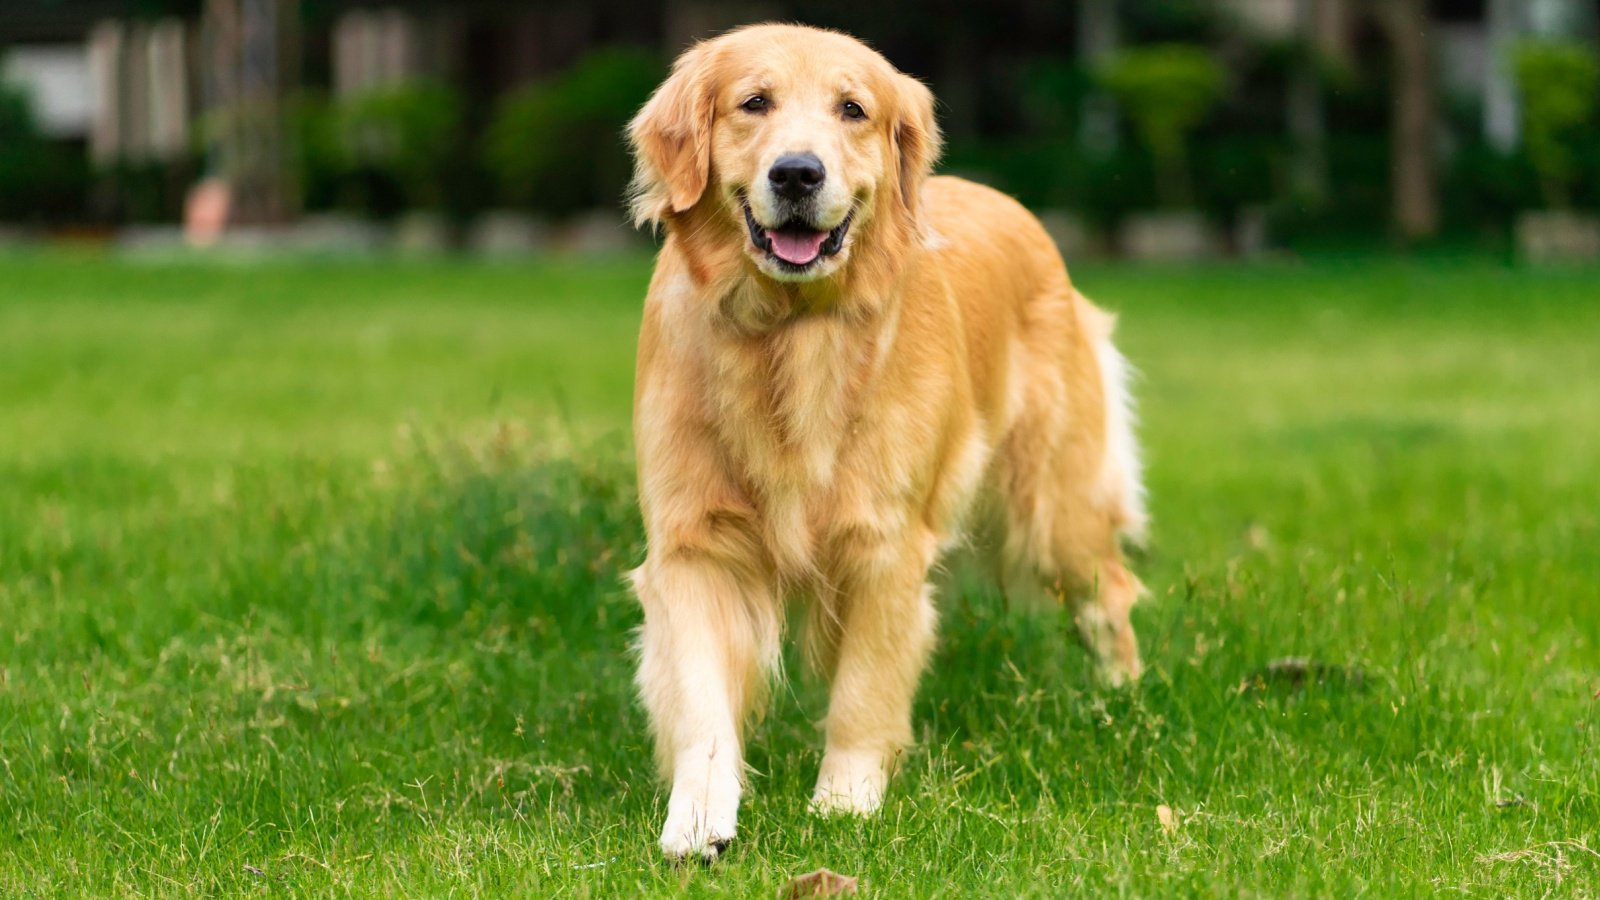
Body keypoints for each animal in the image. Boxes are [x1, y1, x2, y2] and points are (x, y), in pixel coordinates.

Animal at [627, 24, 1152, 858]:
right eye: (753, 102)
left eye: (853, 109)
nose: (798, 173)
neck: (790, 333)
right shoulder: (694, 544)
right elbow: (701, 696)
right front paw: (699, 816)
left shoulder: (884, 544)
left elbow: (864, 690)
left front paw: (845, 801)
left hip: (1053, 507)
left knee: (1109, 595)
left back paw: (1121, 704)